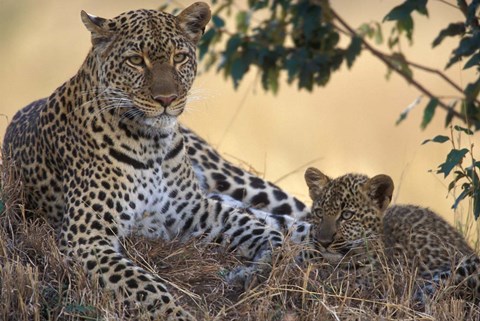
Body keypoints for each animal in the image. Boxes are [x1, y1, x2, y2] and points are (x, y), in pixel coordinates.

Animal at [1, 3, 310, 318]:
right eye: (136, 60)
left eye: (179, 57)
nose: (166, 99)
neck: (152, 145)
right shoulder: (86, 237)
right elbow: (142, 284)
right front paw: (177, 314)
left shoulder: (194, 208)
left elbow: (253, 228)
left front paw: (270, 260)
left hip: (237, 181)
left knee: (296, 211)